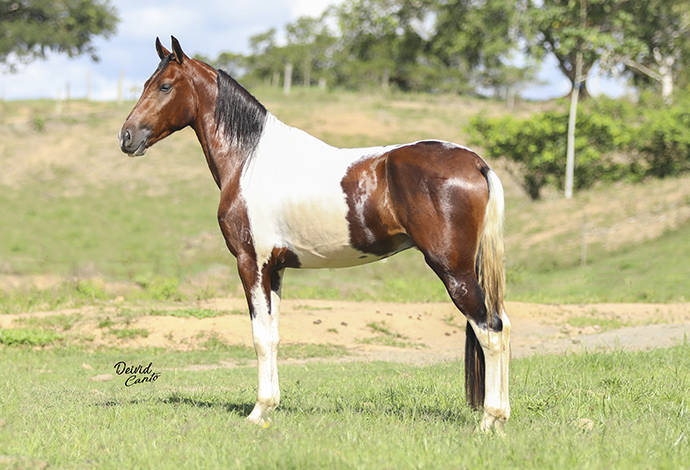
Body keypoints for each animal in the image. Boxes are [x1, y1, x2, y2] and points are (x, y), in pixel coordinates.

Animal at [118, 36, 508, 434]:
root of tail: (475, 162)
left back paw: (489, 420)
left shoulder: (251, 264)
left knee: (490, 329)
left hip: (454, 270)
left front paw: (257, 411)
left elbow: (260, 337)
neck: (251, 161)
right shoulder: (275, 269)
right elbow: (274, 335)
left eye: (165, 86)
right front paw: (270, 407)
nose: (127, 137)